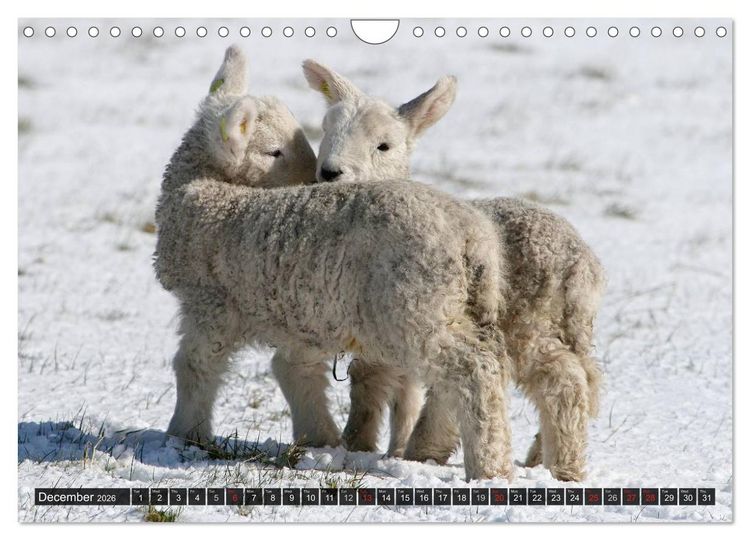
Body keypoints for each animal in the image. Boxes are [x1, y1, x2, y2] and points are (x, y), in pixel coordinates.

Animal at [154, 46, 515, 481]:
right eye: (275, 151)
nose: (316, 179)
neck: (202, 189)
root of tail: (473, 235)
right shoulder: (302, 315)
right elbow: (299, 373)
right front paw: (321, 439)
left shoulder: (210, 304)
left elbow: (195, 366)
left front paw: (184, 434)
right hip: (458, 306)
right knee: (485, 365)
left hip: (417, 307)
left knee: (473, 371)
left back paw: (488, 467)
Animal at [302, 59, 606, 482]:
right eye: (325, 131)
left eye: (384, 146)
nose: (330, 173)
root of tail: (582, 263)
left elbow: (376, 385)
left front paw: (363, 447)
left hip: (528, 322)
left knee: (561, 380)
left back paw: (561, 468)